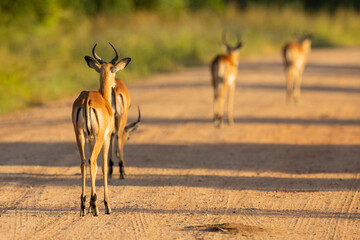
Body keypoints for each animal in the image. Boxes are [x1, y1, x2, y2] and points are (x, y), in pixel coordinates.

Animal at [71, 42, 131, 217]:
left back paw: (83, 206)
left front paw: (90, 205)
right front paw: (106, 205)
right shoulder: (106, 137)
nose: (114, 85)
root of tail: (86, 99)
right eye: (114, 70)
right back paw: (96, 206)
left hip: (79, 136)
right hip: (98, 138)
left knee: (84, 162)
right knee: (91, 162)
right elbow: (104, 166)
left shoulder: (90, 139)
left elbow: (97, 166)